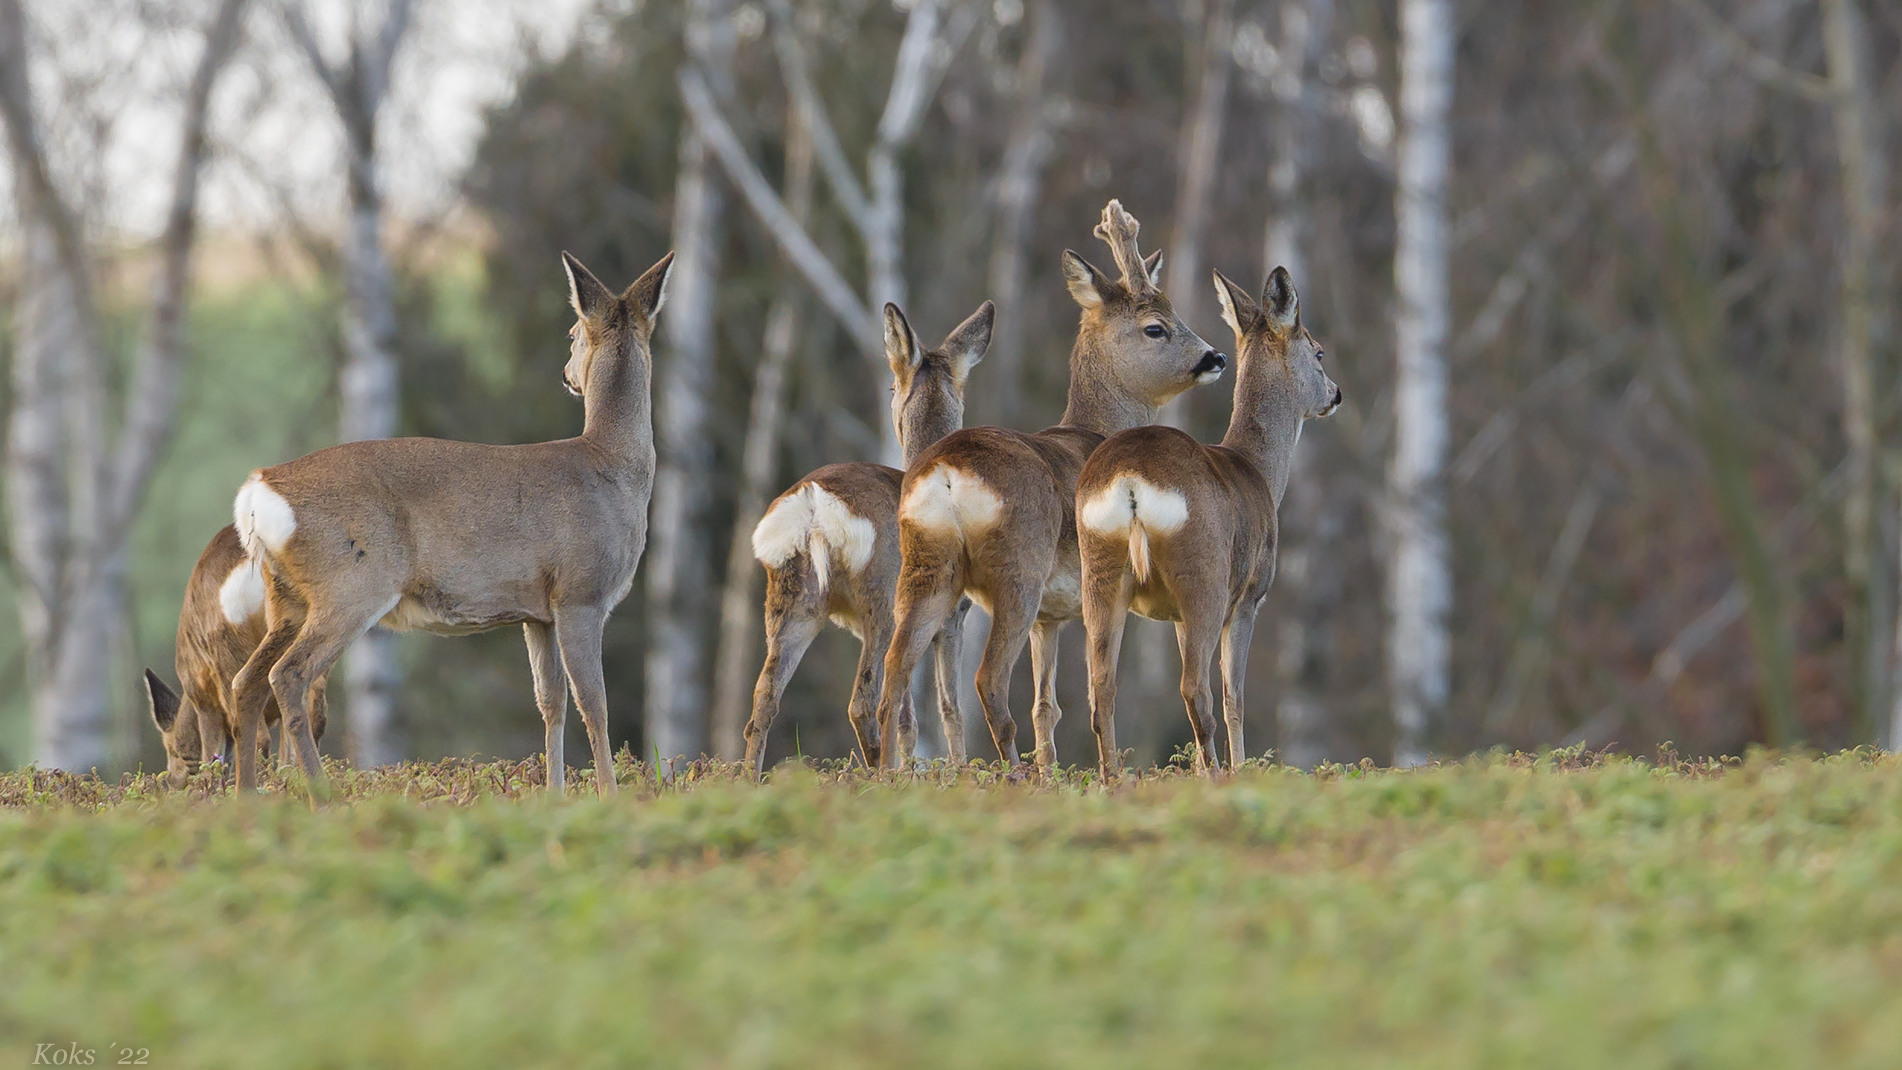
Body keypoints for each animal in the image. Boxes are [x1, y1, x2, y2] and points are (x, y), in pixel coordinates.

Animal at [142, 524, 329, 786]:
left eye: (172, 750)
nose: (172, 782)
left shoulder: (204, 699)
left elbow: (212, 755)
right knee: (314, 717)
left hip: (229, 655)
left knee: (258, 734)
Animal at [224, 250, 677, 798]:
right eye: (572, 332)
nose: (566, 374)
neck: (611, 466)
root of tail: (258, 489)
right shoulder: (580, 592)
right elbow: (595, 703)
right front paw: (610, 796)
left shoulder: (538, 611)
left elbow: (551, 703)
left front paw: (555, 795)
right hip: (351, 582)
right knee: (289, 676)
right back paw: (322, 797)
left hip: (285, 596)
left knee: (246, 681)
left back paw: (249, 798)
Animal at [741, 296, 996, 775]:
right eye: (891, 389)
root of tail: (814, 503)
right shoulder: (952, 615)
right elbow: (949, 708)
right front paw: (960, 770)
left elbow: (910, 718)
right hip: (882, 596)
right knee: (862, 702)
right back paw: (880, 775)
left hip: (792, 601)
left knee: (763, 700)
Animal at [871, 201, 1224, 771]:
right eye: (1156, 327)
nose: (1215, 357)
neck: (1095, 426)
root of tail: (945, 473)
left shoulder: (1052, 618)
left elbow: (1047, 707)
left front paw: (1050, 771)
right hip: (1018, 567)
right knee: (987, 679)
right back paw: (1010, 773)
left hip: (924, 565)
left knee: (895, 670)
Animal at [1080, 267, 1346, 779]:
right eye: (1318, 350)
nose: (1336, 393)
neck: (1258, 471)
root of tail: (1130, 482)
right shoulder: (1249, 595)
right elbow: (1235, 696)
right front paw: (1241, 767)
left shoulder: (1176, 614)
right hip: (1202, 573)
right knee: (1195, 687)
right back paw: (1218, 775)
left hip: (1099, 570)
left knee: (1101, 685)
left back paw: (1113, 779)